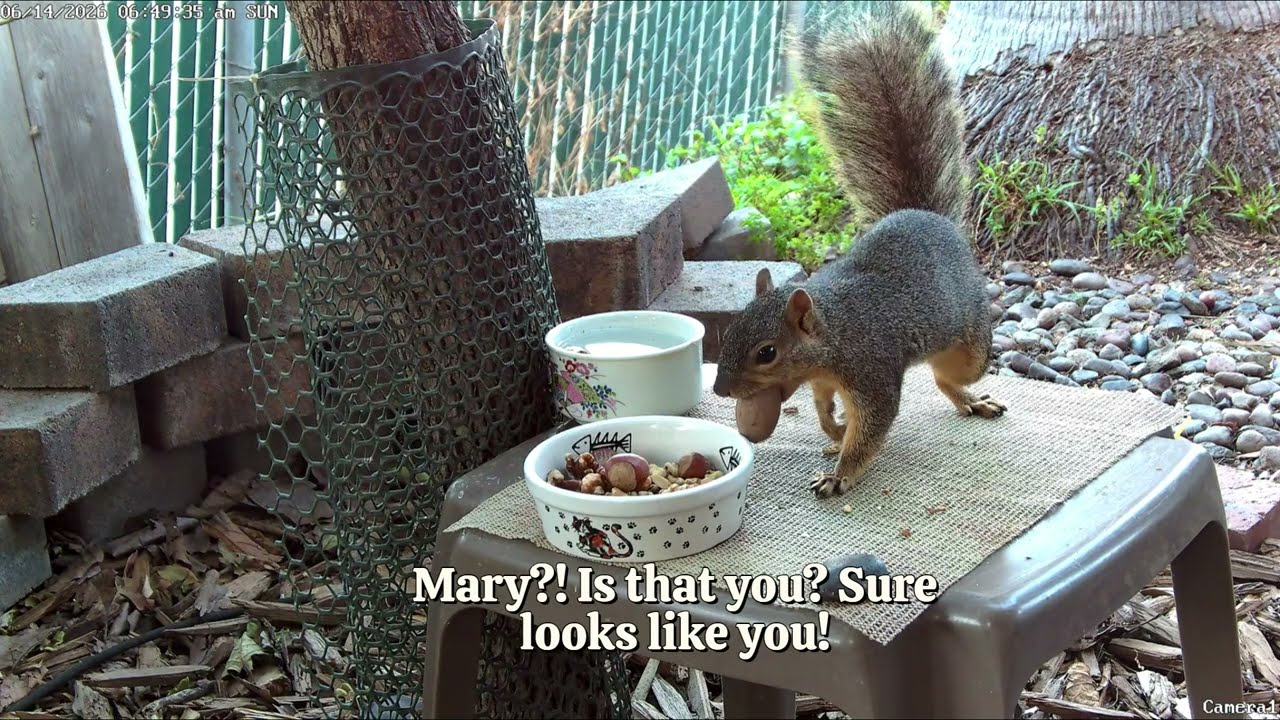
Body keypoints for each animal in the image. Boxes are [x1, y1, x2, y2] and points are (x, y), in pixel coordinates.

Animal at [710, 1, 1006, 498]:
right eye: (728, 333)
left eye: (767, 352)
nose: (719, 391)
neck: (835, 332)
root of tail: (929, 216)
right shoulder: (824, 382)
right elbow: (824, 407)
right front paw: (832, 430)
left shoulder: (871, 372)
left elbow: (871, 427)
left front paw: (840, 472)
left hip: (970, 343)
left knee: (950, 375)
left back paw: (972, 399)